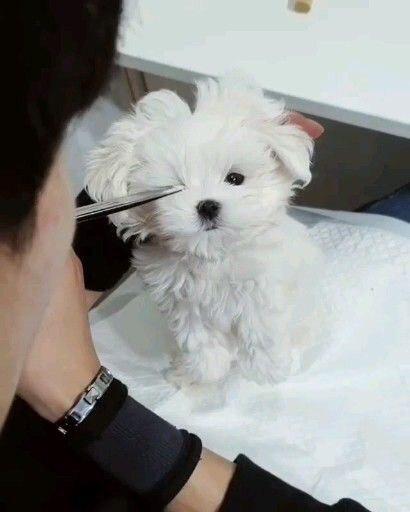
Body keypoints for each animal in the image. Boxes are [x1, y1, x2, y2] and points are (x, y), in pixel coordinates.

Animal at [86, 76, 320, 386]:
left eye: (235, 178)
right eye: (172, 188)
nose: (207, 206)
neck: (211, 253)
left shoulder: (262, 291)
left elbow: (261, 332)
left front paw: (266, 372)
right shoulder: (183, 304)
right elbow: (198, 339)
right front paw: (204, 373)